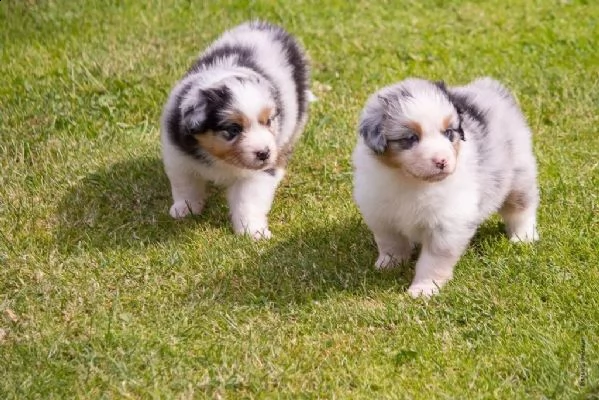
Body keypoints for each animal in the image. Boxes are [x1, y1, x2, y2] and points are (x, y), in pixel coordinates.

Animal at [162, 21, 312, 239]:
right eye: (233, 129)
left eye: (268, 121)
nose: (264, 153)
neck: (220, 159)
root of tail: (269, 26)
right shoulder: (177, 156)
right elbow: (186, 185)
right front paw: (185, 209)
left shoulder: (258, 174)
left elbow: (248, 201)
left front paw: (253, 232)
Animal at [354, 77, 540, 296]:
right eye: (411, 138)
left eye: (449, 133)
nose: (441, 161)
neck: (411, 181)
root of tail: (490, 87)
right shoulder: (382, 215)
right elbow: (391, 243)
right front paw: (388, 265)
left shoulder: (447, 224)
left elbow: (433, 260)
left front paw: (424, 289)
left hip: (518, 175)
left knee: (521, 209)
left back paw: (523, 237)